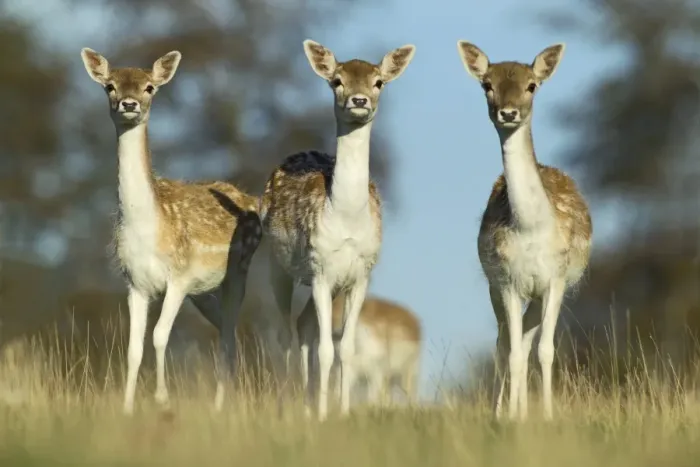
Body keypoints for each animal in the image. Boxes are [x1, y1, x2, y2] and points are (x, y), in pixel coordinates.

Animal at [80, 48, 262, 414]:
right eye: (110, 86)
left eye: (149, 87)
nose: (129, 104)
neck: (149, 231)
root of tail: (255, 201)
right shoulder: (135, 283)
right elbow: (133, 348)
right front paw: (126, 408)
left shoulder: (179, 277)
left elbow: (160, 335)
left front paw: (162, 398)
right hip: (203, 293)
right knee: (225, 330)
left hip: (238, 272)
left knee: (228, 333)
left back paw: (220, 405)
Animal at [259, 39, 415, 420]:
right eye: (337, 80)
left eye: (378, 82)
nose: (359, 100)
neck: (346, 218)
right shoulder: (320, 269)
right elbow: (327, 350)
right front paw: (321, 414)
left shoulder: (359, 274)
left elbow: (345, 349)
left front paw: (339, 411)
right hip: (276, 265)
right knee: (285, 333)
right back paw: (288, 405)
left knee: (303, 326)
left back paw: (305, 402)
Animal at [456, 41, 593, 421]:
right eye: (487, 85)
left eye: (532, 85)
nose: (508, 113)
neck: (531, 229)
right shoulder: (507, 280)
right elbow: (513, 352)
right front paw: (512, 417)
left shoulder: (556, 279)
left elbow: (545, 350)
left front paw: (545, 416)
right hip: (496, 287)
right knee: (505, 344)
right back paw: (502, 410)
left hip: (539, 293)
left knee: (527, 340)